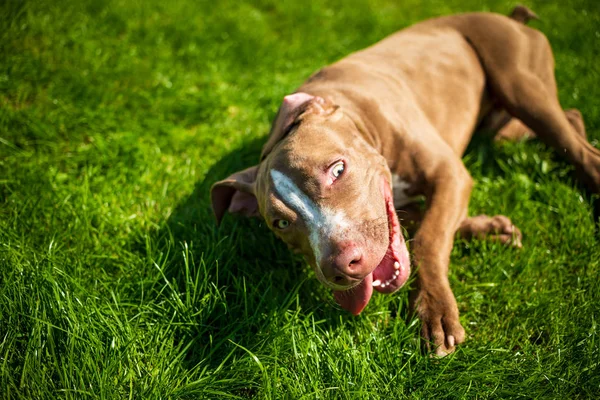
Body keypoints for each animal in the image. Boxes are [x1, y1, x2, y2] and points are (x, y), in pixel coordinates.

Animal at [211, 7, 600, 356]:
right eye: (280, 223)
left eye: (337, 170)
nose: (340, 267)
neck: (355, 114)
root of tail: (509, 17)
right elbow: (420, 225)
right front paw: (490, 230)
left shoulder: (449, 173)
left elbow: (429, 237)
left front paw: (433, 309)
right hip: (503, 126)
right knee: (569, 120)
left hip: (520, 84)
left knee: (579, 148)